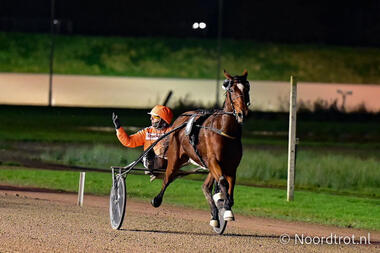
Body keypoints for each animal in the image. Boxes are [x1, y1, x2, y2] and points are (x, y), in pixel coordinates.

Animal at [150, 69, 251, 227]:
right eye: (232, 90)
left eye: (247, 88)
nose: (243, 113)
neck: (224, 130)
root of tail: (182, 117)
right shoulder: (213, 161)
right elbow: (223, 182)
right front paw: (226, 207)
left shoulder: (231, 166)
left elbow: (229, 186)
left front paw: (226, 206)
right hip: (175, 158)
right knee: (168, 177)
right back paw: (157, 199)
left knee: (205, 186)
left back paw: (214, 215)